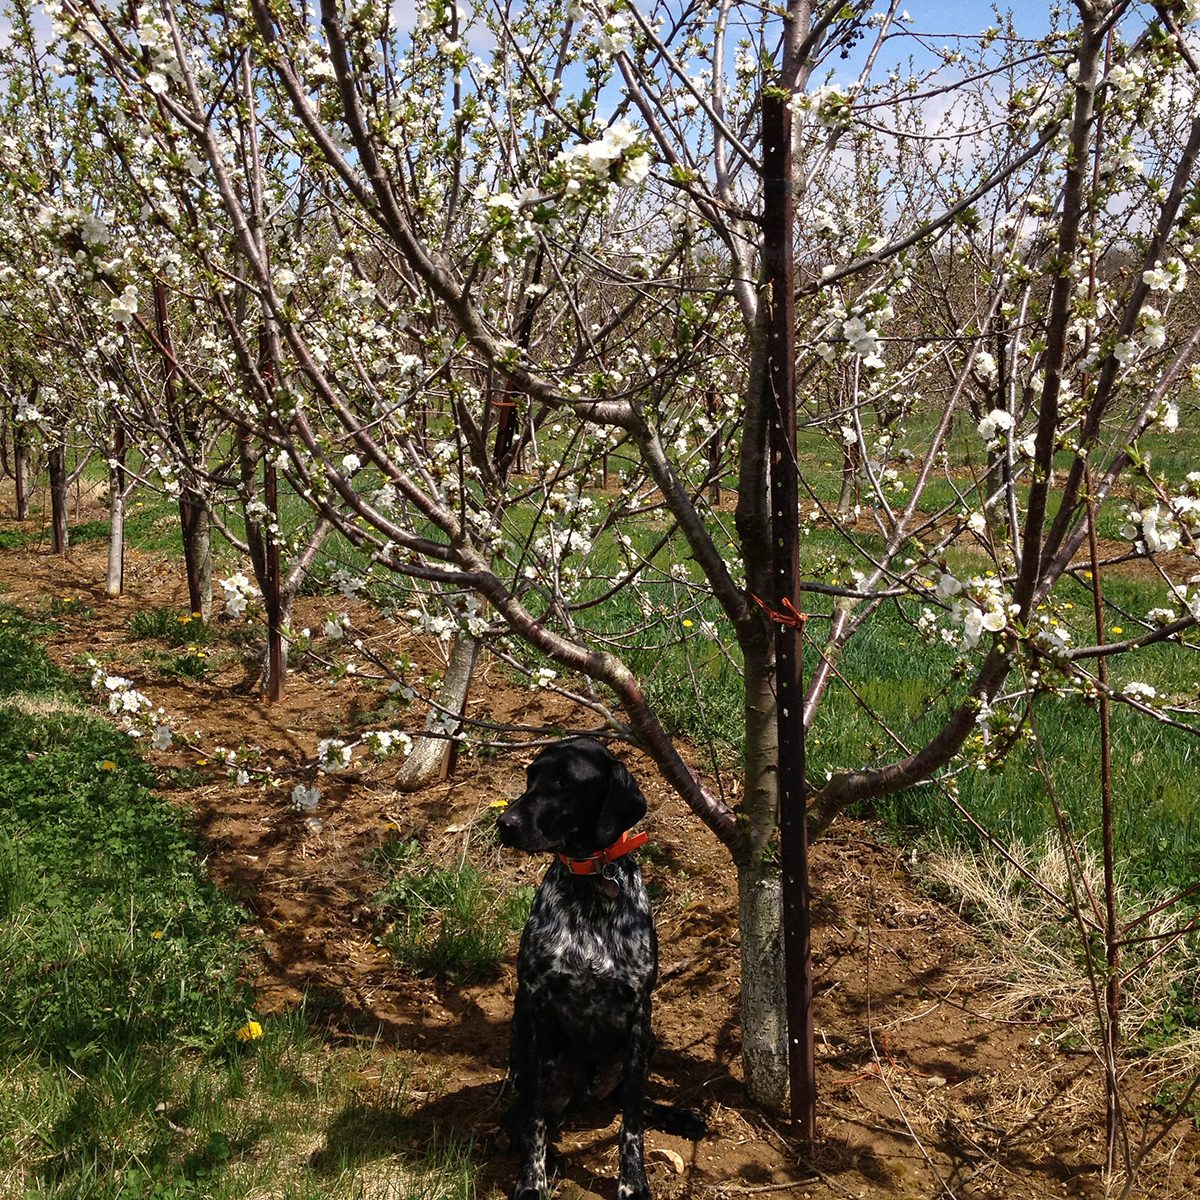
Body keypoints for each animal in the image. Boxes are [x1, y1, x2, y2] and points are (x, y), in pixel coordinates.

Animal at [494, 734, 700, 1200]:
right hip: (541, 1060)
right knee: (518, 1117)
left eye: (564, 782)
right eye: (531, 777)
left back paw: (678, 1116)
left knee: (627, 1099)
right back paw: (550, 1157)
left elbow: (632, 1124)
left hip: (641, 1047)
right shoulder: (535, 1005)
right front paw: (531, 1180)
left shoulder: (639, 1010)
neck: (590, 887)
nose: (505, 823)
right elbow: (532, 1120)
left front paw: (633, 1181)